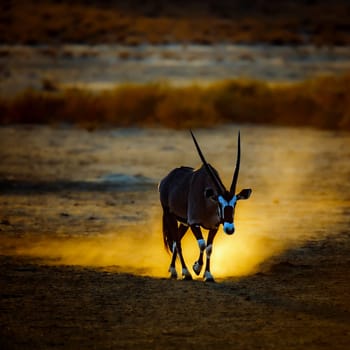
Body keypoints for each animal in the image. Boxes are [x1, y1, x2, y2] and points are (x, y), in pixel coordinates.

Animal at [159, 131, 252, 282]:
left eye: (235, 203)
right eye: (219, 203)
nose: (230, 229)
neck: (208, 202)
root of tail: (166, 180)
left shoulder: (214, 226)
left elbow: (209, 248)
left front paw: (208, 275)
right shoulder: (194, 223)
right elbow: (202, 244)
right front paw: (196, 268)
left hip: (183, 223)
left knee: (175, 242)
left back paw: (173, 270)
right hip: (170, 216)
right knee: (177, 243)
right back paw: (185, 272)